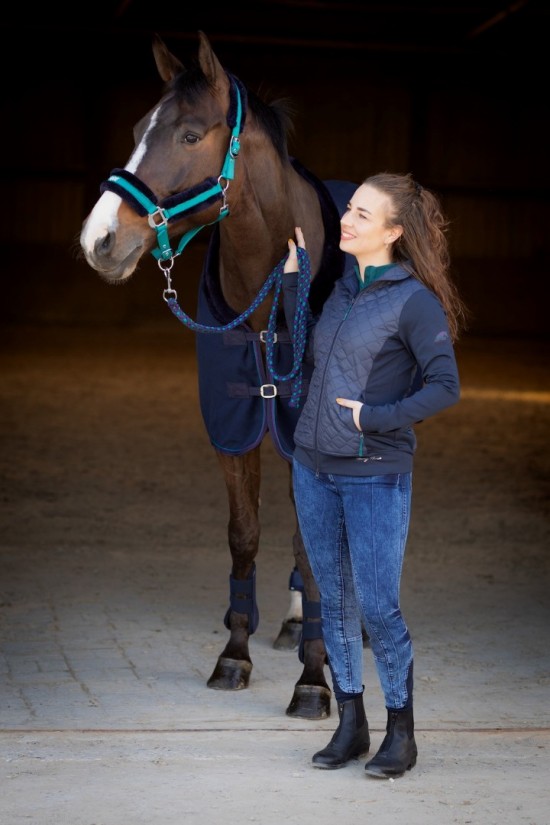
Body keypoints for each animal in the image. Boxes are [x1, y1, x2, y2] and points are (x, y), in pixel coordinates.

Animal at [79, 31, 356, 720]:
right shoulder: (233, 425)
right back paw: (289, 622)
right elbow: (245, 534)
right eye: (138, 129)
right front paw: (235, 654)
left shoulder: (309, 433)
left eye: (188, 135)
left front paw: (315, 681)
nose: (99, 240)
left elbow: (313, 547)